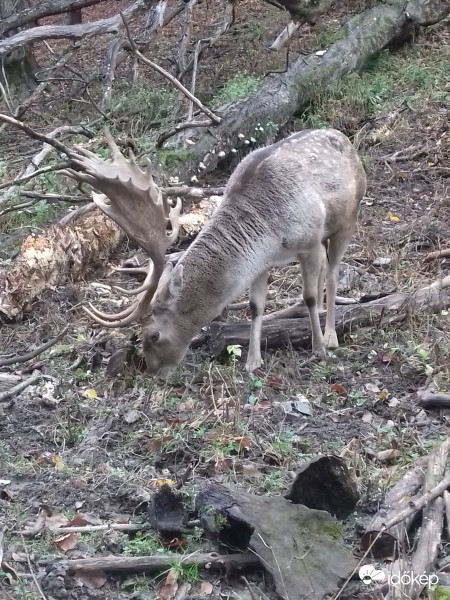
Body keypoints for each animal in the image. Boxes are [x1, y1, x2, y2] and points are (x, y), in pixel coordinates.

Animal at [61, 128, 366, 376]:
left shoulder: (309, 241)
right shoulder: (263, 263)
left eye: (154, 336)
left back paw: (330, 336)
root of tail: (346, 140)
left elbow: (310, 296)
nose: (152, 370)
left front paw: (319, 350)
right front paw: (253, 361)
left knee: (332, 273)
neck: (269, 233)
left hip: (348, 219)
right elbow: (256, 306)